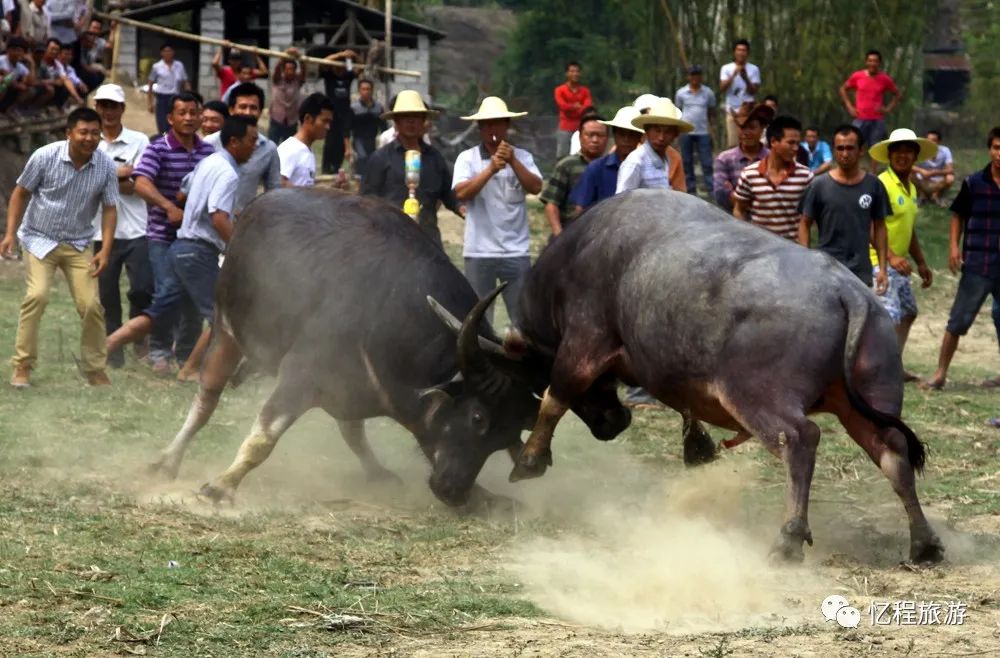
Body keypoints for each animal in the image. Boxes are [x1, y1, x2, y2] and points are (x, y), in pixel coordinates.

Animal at [150, 187, 540, 504]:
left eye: (507, 437)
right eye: (478, 417)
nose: (454, 492)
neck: (390, 312)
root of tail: (256, 206)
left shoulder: (355, 388)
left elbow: (358, 433)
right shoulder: (300, 375)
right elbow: (263, 438)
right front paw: (221, 486)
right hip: (225, 329)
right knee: (206, 400)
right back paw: (167, 460)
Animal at [508, 187, 944, 560]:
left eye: (531, 371)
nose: (613, 422)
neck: (578, 255)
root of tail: (847, 291)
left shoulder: (582, 343)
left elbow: (555, 398)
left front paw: (529, 461)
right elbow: (685, 407)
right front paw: (698, 449)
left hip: (757, 397)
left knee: (801, 439)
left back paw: (789, 538)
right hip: (871, 396)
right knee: (892, 451)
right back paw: (924, 543)